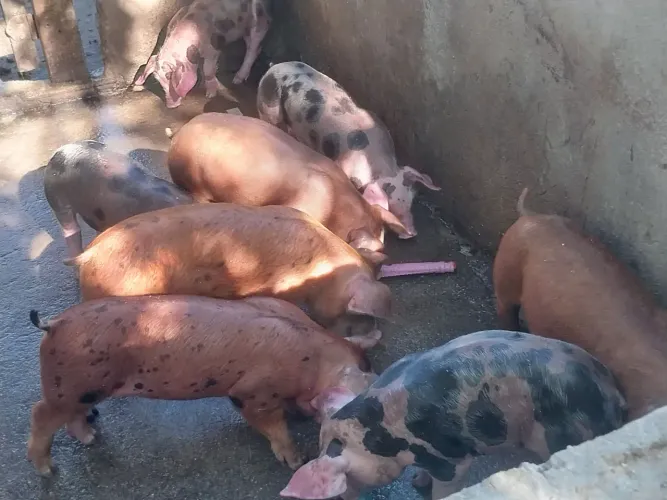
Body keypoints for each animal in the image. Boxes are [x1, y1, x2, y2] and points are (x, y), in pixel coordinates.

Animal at [26, 295, 380, 476]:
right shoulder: (250, 393)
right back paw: (49, 469)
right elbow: (272, 425)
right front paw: (296, 461)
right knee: (40, 413)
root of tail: (54, 323)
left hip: (81, 389)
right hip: (71, 386)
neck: (316, 358)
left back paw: (91, 433)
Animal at [133, 0, 272, 108]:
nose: (170, 106)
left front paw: (210, 95)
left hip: (258, 24)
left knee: (253, 49)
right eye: (159, 81)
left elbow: (208, 70)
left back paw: (237, 80)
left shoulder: (213, 50)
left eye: (171, 78)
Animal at [257, 61, 441, 238]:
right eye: (391, 199)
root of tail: (274, 68)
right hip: (269, 107)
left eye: (411, 198)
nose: (412, 233)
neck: (376, 164)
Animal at [281, 330, 627, 500]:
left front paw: (424, 487)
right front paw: (417, 481)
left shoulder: (450, 458)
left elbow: (447, 483)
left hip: (562, 436)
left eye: (348, 477)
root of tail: (614, 396)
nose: (344, 498)